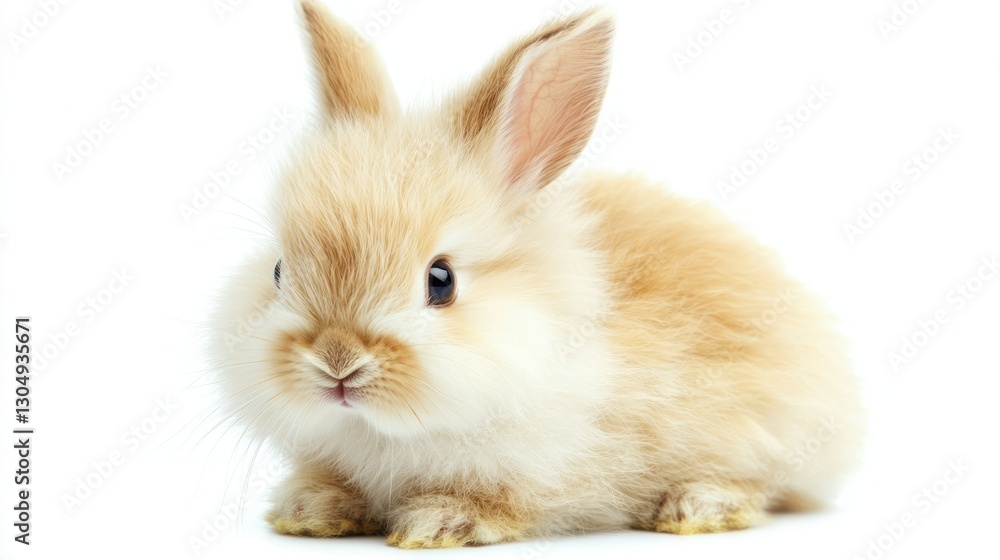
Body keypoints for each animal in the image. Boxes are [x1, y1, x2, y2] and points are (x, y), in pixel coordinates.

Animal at [207, 0, 864, 549]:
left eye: (440, 280)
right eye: (278, 271)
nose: (337, 362)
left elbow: (506, 500)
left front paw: (439, 522)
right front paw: (309, 511)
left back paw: (698, 506)